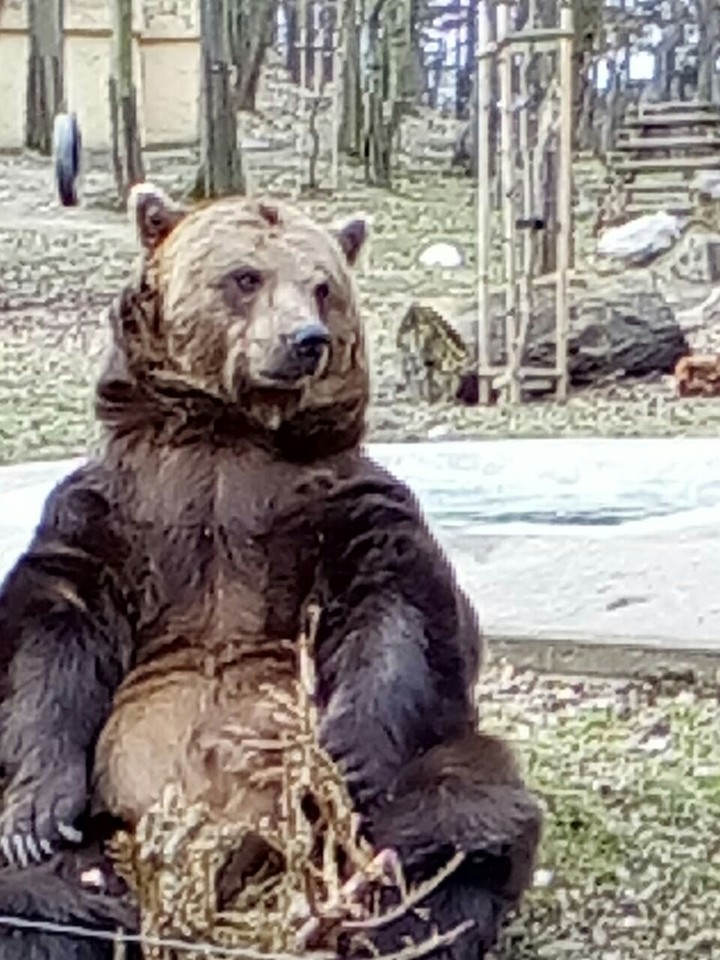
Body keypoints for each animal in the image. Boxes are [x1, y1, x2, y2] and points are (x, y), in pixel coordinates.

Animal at [0, 183, 542, 960]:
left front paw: (344, 755)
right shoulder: (118, 510)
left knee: (457, 809)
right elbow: (52, 628)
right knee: (34, 885)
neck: (230, 433)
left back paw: (388, 914)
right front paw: (37, 815)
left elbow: (394, 608)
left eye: (322, 287)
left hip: (398, 797)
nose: (305, 341)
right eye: (245, 276)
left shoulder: (337, 506)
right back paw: (72, 909)